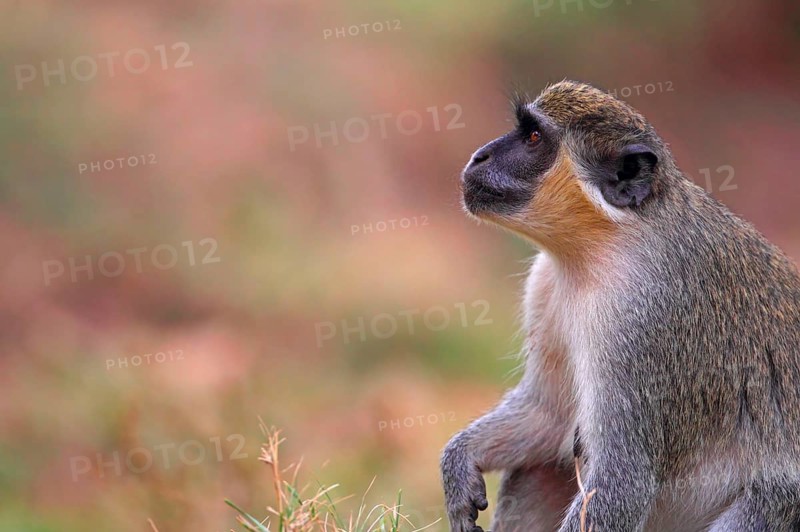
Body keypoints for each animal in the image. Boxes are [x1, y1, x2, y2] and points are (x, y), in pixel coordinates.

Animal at [440, 80, 800, 532]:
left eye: (534, 137)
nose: (479, 155)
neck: (604, 243)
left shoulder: (643, 315)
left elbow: (622, 481)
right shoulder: (545, 285)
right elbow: (547, 415)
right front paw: (459, 461)